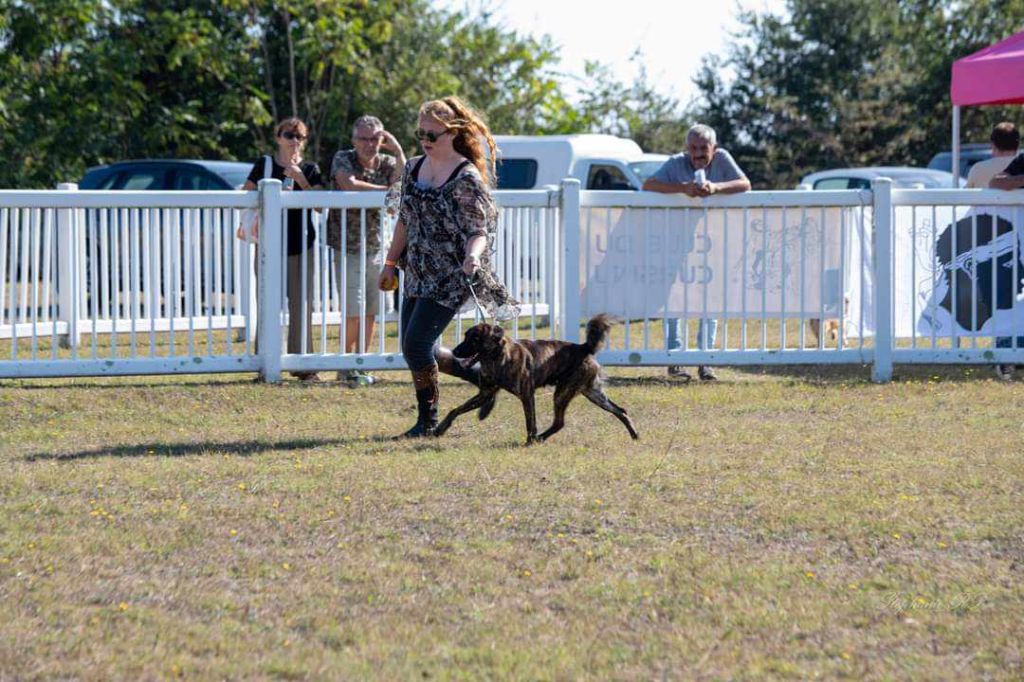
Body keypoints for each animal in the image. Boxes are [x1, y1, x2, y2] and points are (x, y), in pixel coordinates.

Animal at [434, 311, 638, 444]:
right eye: (465, 336)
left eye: (474, 339)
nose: (454, 351)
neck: (497, 358)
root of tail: (583, 347)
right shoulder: (485, 393)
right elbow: (455, 410)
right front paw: (439, 429)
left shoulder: (526, 394)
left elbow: (530, 421)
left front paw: (530, 440)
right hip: (593, 393)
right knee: (621, 411)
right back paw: (635, 435)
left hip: (563, 393)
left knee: (559, 422)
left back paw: (539, 438)